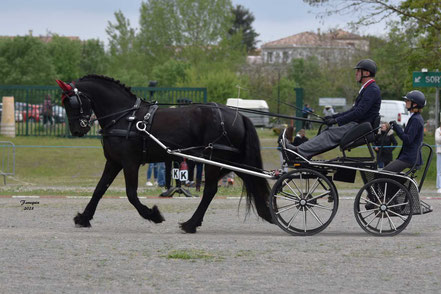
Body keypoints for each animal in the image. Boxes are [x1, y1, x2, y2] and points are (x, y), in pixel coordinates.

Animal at [55, 74, 272, 232]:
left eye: (71, 103)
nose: (77, 130)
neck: (125, 117)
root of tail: (238, 115)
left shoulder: (129, 162)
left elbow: (131, 194)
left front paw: (153, 214)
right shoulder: (114, 162)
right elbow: (99, 189)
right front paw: (84, 218)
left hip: (213, 159)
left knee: (210, 190)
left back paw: (191, 224)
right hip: (234, 161)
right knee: (251, 180)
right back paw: (268, 212)